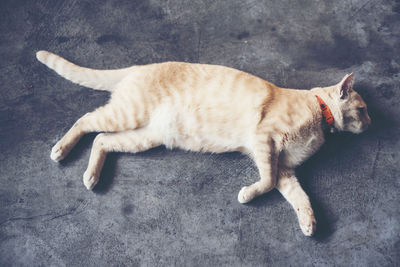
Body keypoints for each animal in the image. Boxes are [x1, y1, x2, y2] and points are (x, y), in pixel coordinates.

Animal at [36, 50, 372, 237]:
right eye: (363, 109)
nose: (371, 123)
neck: (318, 113)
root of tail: (138, 67)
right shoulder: (265, 141)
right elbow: (265, 182)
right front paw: (246, 195)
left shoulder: (284, 167)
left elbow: (299, 196)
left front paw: (308, 223)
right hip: (125, 115)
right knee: (86, 121)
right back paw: (61, 150)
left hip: (145, 136)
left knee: (102, 140)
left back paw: (91, 177)